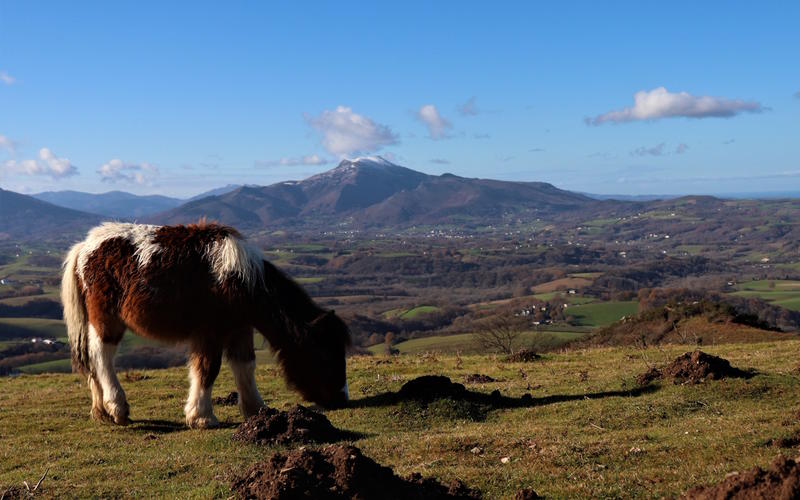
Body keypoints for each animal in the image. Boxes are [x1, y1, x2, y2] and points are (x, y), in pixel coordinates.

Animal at [61, 221, 350, 429]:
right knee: (102, 357)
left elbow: (245, 366)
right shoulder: (210, 332)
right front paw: (201, 417)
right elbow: (208, 369)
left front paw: (258, 410)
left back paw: (102, 411)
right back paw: (117, 408)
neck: (242, 281)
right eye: (325, 354)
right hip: (106, 321)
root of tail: (84, 247)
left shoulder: (240, 329)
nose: (341, 399)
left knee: (92, 359)